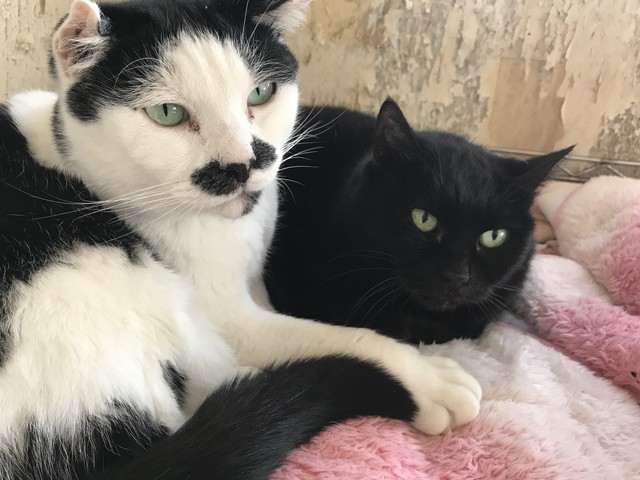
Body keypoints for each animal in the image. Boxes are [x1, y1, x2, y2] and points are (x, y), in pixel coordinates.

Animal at [0, 1, 482, 479]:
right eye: (167, 113)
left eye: (261, 93)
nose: (242, 164)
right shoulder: (229, 320)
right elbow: (349, 338)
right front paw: (430, 380)